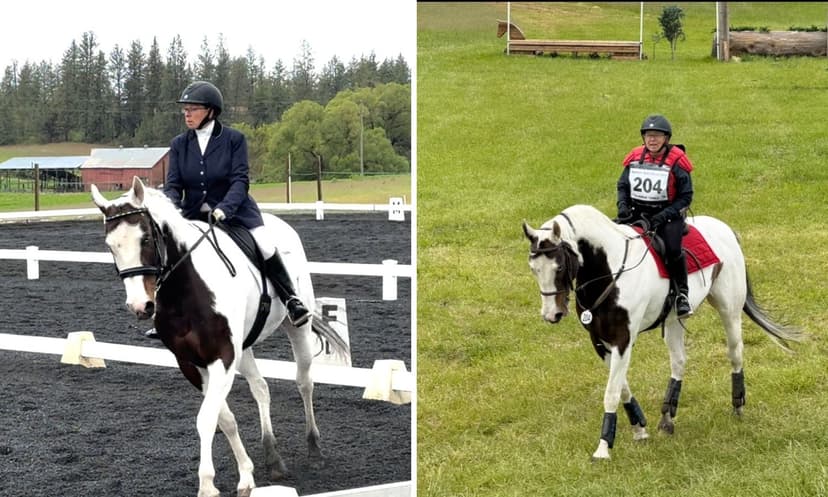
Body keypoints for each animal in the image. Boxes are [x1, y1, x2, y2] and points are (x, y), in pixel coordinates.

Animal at [91, 176, 349, 497]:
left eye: (147, 239)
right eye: (110, 246)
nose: (140, 306)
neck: (186, 292)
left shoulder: (222, 357)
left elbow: (206, 419)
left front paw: (207, 484)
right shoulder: (192, 364)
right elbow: (224, 419)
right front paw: (246, 475)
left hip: (296, 328)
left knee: (304, 382)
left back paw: (314, 449)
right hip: (244, 348)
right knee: (261, 388)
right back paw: (272, 456)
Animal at [522, 204, 802, 461]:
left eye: (559, 267)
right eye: (534, 269)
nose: (551, 315)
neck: (609, 271)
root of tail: (725, 229)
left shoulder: (623, 340)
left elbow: (611, 392)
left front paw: (603, 447)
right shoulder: (600, 341)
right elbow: (622, 387)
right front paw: (639, 430)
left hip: (729, 310)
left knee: (735, 353)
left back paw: (737, 406)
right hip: (673, 321)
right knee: (678, 361)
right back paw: (667, 416)